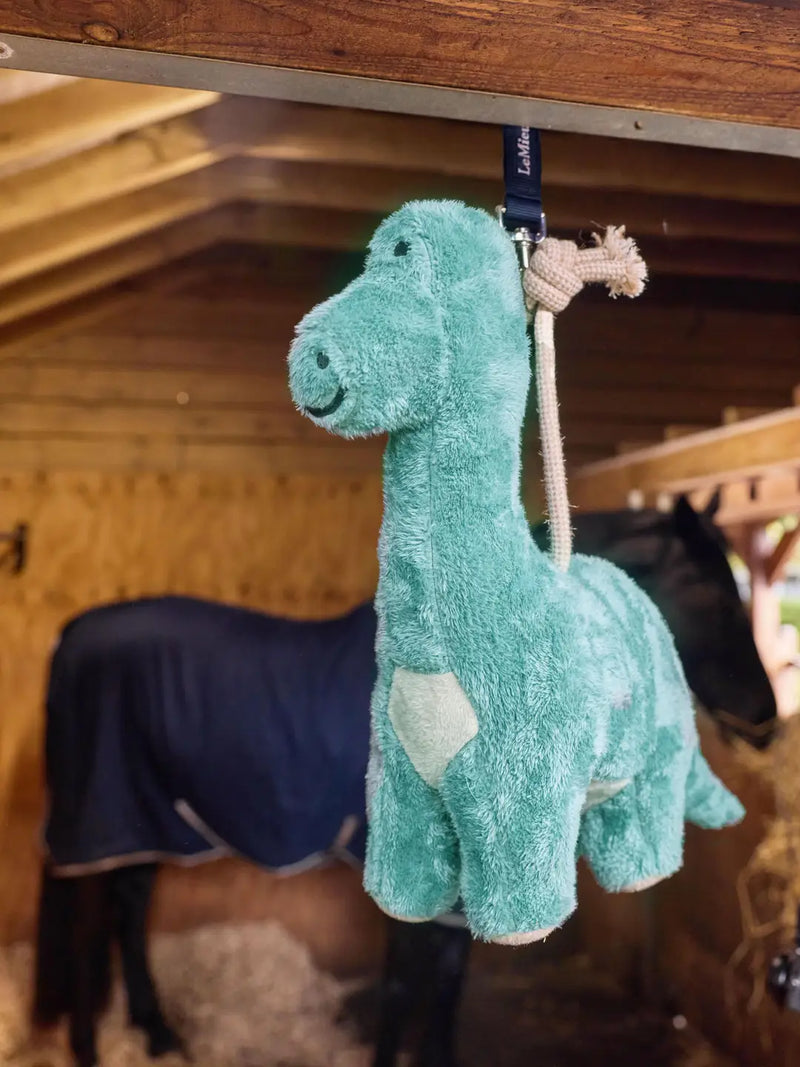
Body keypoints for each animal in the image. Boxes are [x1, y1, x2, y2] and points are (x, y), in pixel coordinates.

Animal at [31, 498, 775, 1066]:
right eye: (710, 592)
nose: (766, 719)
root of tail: (69, 637)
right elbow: (400, 984)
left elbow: (445, 981)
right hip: (105, 820)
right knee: (88, 932)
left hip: (149, 823)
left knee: (126, 914)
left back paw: (157, 1033)